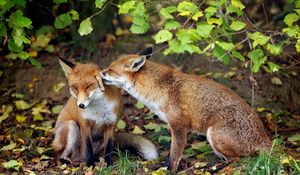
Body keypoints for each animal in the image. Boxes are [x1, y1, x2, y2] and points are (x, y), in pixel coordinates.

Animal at [101, 47, 272, 171]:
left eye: (110, 70)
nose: (100, 72)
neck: (160, 89)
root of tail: (264, 137)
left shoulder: (179, 126)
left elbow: (174, 154)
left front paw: (169, 170)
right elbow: (171, 154)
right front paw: (162, 166)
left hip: (213, 134)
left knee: (239, 160)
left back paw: (216, 168)